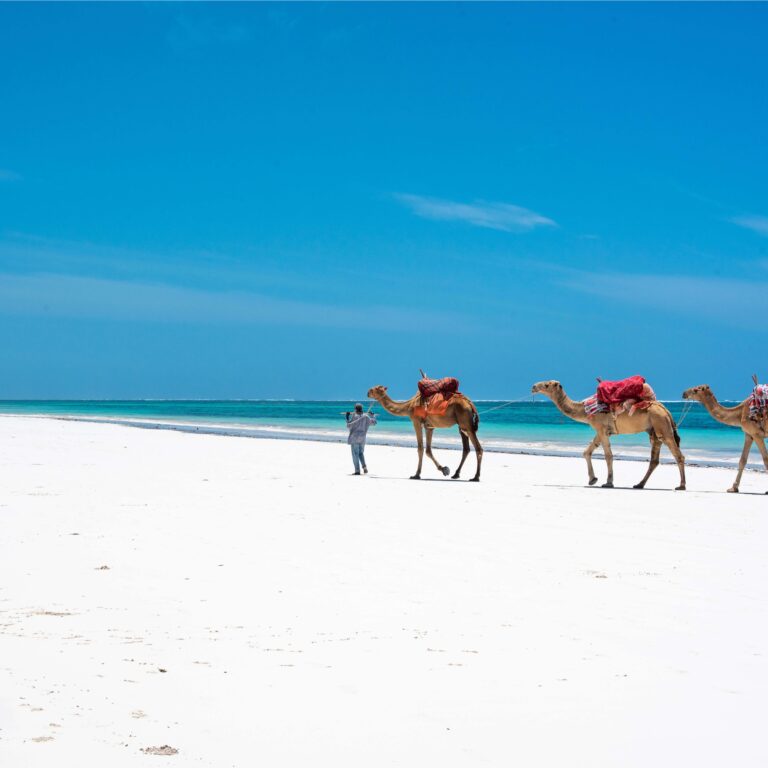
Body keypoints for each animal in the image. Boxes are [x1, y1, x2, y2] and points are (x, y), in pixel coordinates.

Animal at [530, 380, 686, 490]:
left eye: (547, 384)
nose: (533, 386)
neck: (584, 410)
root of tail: (665, 410)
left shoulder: (600, 427)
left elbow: (608, 455)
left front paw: (608, 482)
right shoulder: (603, 430)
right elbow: (587, 451)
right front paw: (592, 479)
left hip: (662, 426)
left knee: (678, 455)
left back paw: (681, 486)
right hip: (654, 430)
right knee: (654, 460)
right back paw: (639, 485)